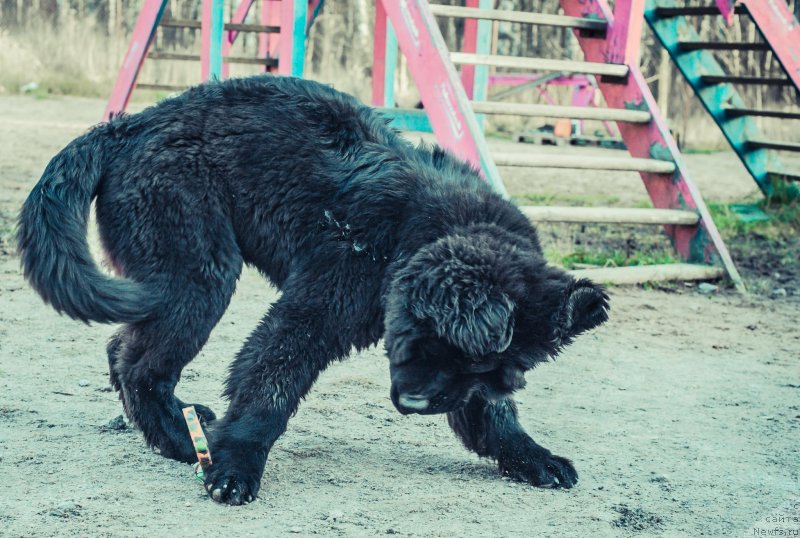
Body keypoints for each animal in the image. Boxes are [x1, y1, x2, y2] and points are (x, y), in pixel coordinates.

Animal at [17, 74, 608, 502]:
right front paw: (235, 467)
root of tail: (133, 125)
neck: (414, 230)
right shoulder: (311, 311)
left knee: (122, 348)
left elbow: (492, 412)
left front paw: (533, 456)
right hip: (199, 271)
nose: (413, 405)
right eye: (421, 338)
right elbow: (269, 386)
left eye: (489, 367)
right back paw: (183, 441)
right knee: (141, 364)